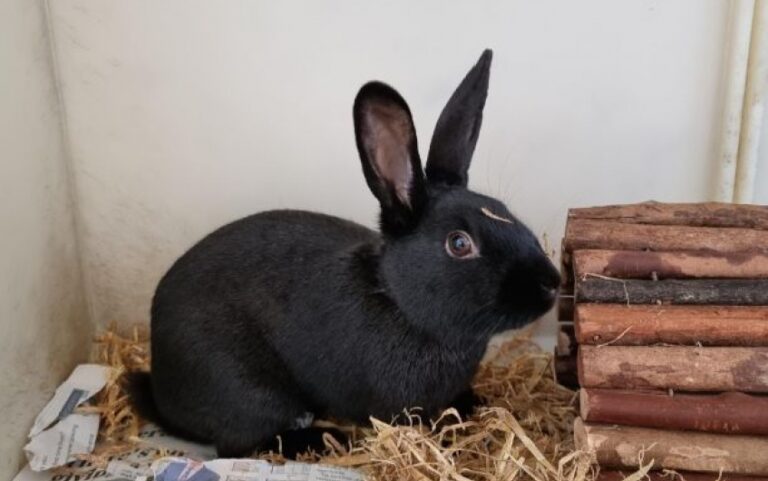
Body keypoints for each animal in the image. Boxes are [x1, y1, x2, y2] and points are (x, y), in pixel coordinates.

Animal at [130, 48, 560, 458]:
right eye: (459, 243)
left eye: (503, 210)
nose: (551, 284)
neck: (399, 303)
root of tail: (163, 393)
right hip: (246, 391)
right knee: (242, 444)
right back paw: (326, 440)